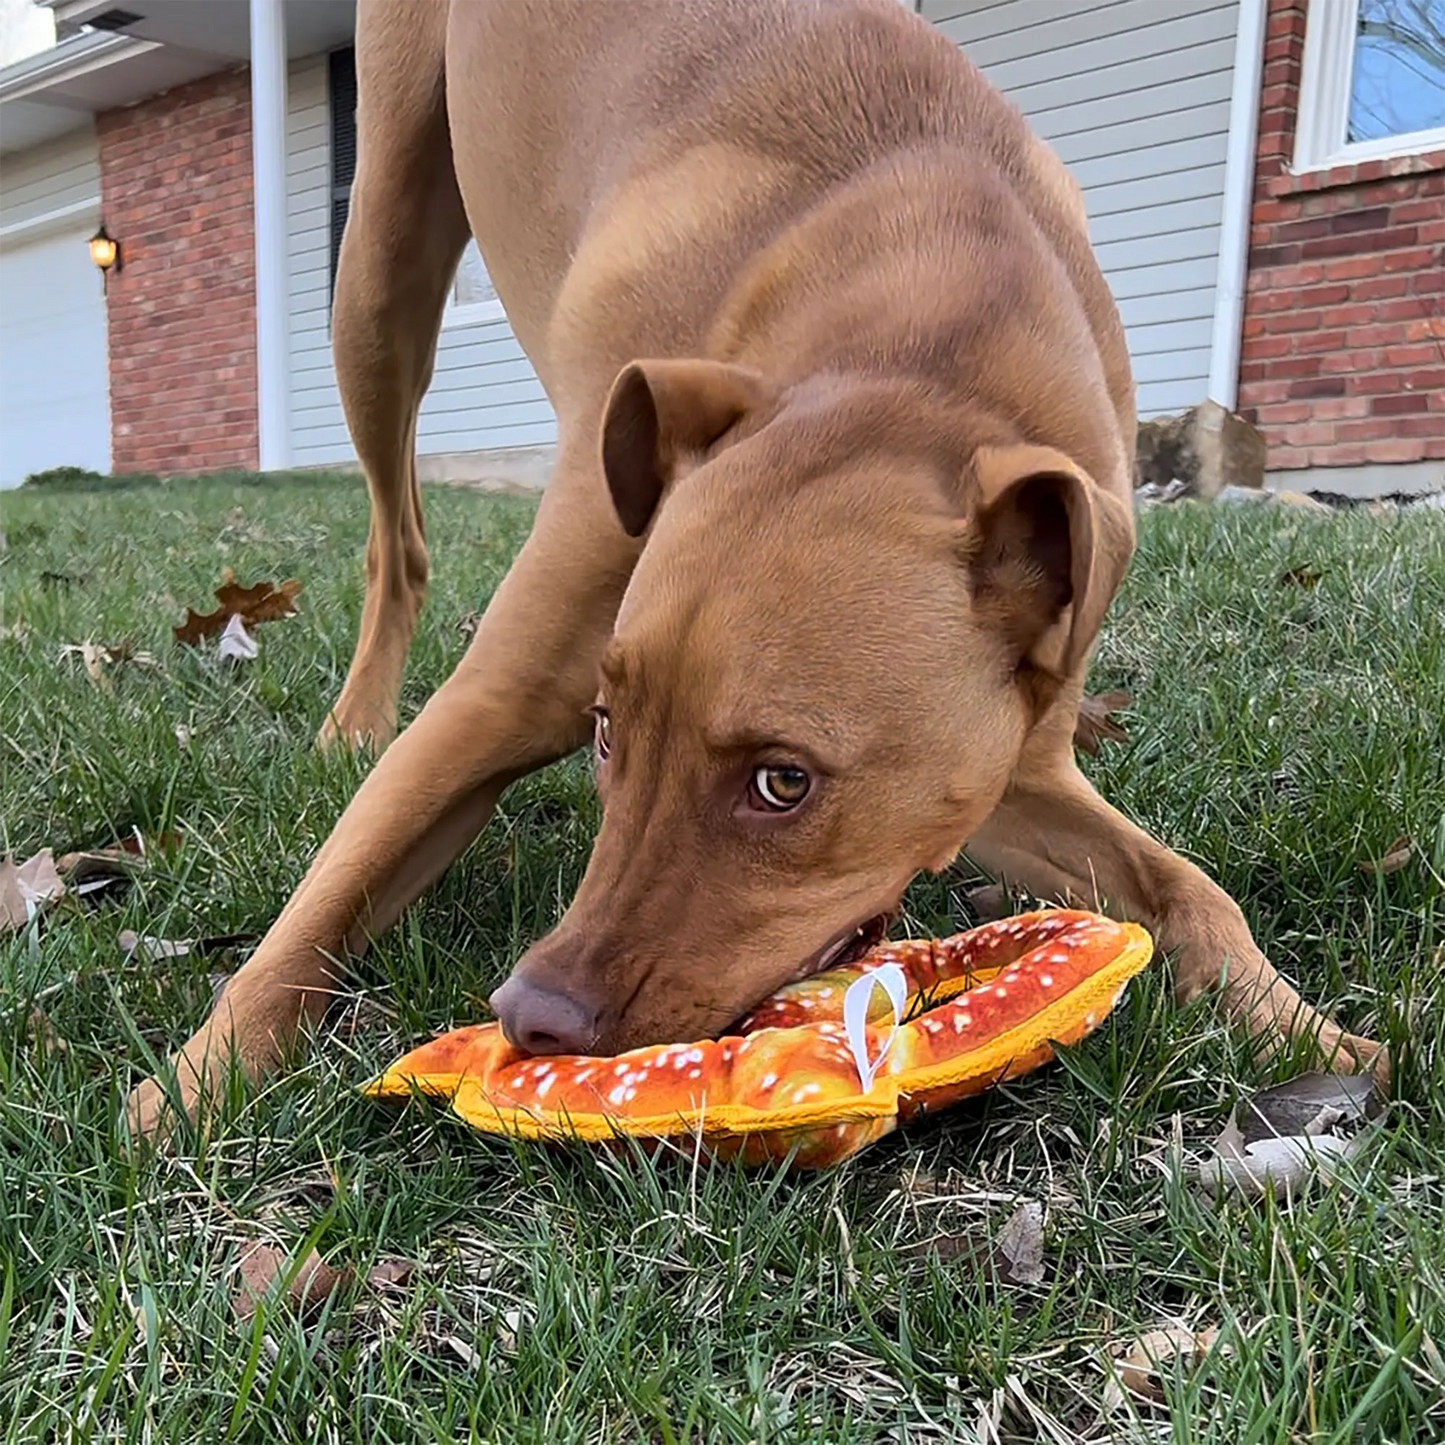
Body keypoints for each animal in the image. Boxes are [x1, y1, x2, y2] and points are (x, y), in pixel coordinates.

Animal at [130, 0, 1381, 1132]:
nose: (533, 1015)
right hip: (382, 258)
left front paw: (1311, 1032)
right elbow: (315, 912)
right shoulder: (490, 702)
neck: (918, 361)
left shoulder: (1003, 774)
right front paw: (181, 1091)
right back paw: (352, 719)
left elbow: (1187, 887)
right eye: (604, 732)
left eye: (783, 781)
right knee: (398, 533)